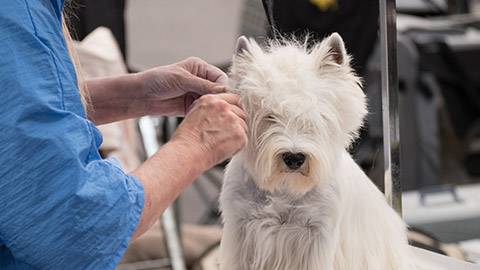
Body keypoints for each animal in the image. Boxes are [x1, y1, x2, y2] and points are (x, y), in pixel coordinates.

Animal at [219, 34, 414, 270]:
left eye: (317, 116)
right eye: (269, 116)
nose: (294, 158)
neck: (286, 187)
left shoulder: (318, 234)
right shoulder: (240, 228)